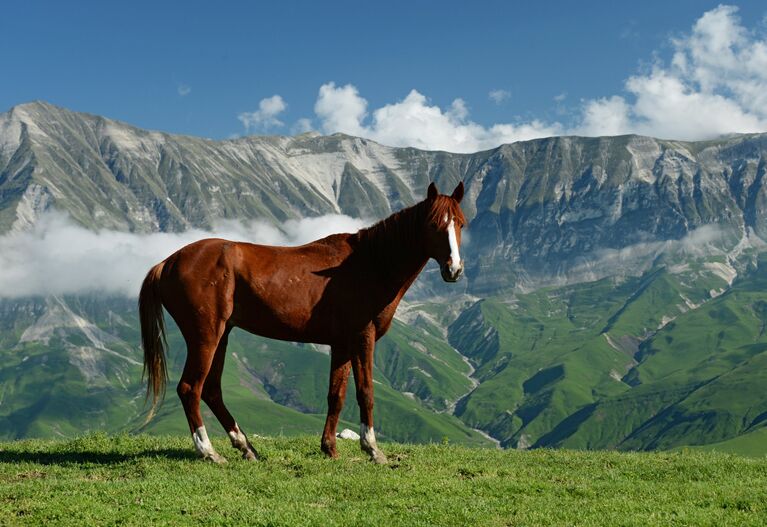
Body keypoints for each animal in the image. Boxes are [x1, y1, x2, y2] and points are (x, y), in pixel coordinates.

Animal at [138, 184, 468, 464]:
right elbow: (365, 393)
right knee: (190, 388)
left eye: (461, 224)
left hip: (222, 335)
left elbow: (336, 396)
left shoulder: (342, 343)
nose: (454, 269)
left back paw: (245, 447)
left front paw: (330, 448)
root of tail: (167, 262)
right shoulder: (363, 337)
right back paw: (209, 451)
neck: (368, 264)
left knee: (211, 391)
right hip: (205, 336)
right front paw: (373, 450)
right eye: (434, 224)